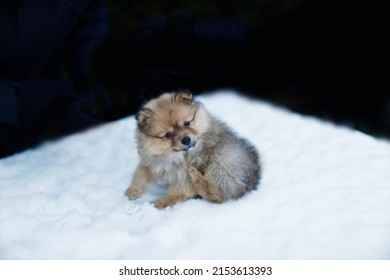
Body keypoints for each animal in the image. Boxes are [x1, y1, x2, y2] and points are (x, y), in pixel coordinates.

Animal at [125, 90, 260, 208]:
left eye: (186, 123)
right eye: (168, 135)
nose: (186, 140)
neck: (175, 157)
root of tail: (254, 178)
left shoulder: (185, 174)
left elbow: (176, 192)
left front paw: (160, 203)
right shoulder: (152, 162)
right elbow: (141, 174)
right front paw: (132, 191)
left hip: (223, 162)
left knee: (217, 195)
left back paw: (197, 178)